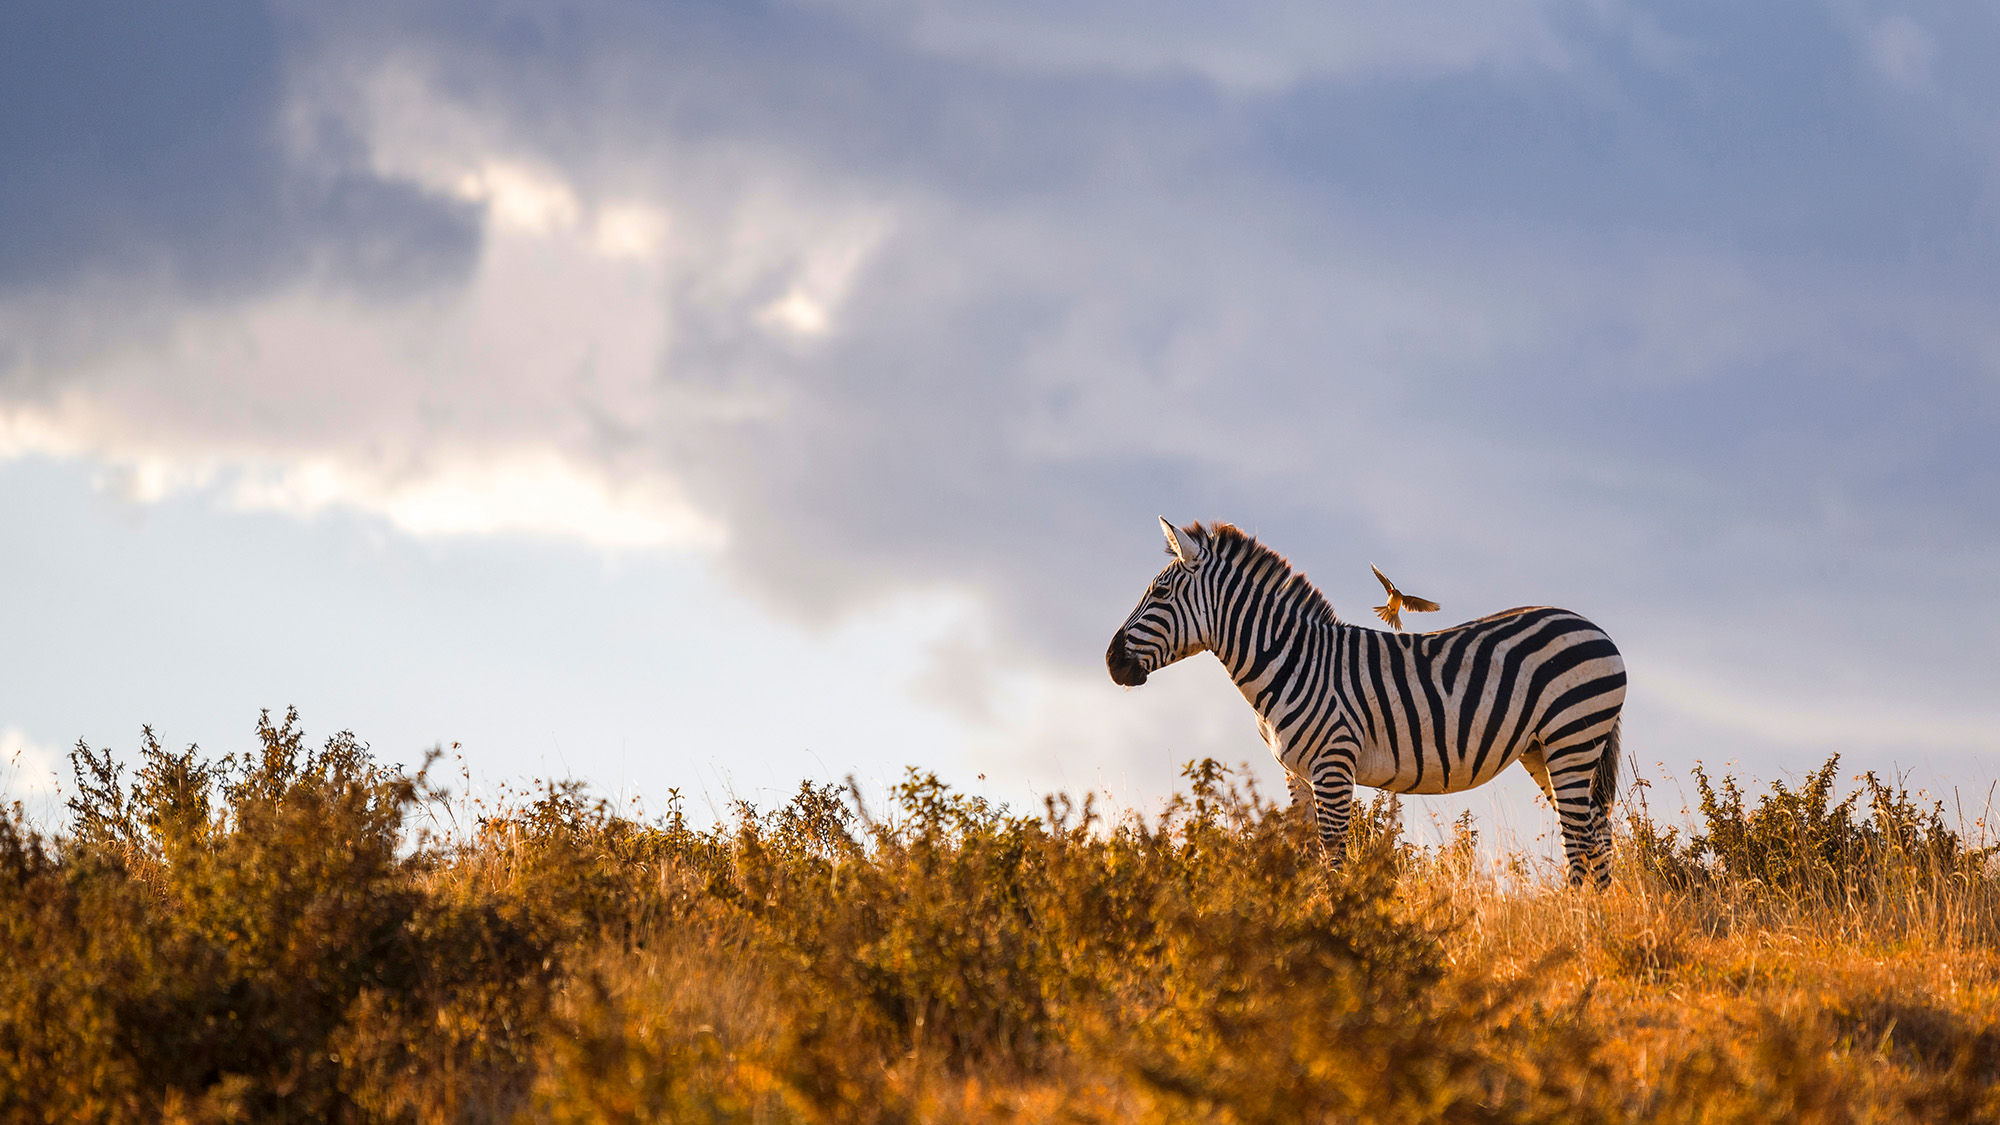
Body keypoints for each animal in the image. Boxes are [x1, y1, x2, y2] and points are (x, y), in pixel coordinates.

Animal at [1106, 518, 1626, 888]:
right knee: (1598, 835)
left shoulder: (1334, 764)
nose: (1111, 661)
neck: (1291, 659)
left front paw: (1337, 927)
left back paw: (1579, 922)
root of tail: (1595, 627)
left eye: (1160, 592)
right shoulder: (1296, 773)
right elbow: (1307, 851)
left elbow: (1334, 855)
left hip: (1572, 736)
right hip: (1543, 749)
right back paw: (1601, 922)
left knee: (1580, 838)